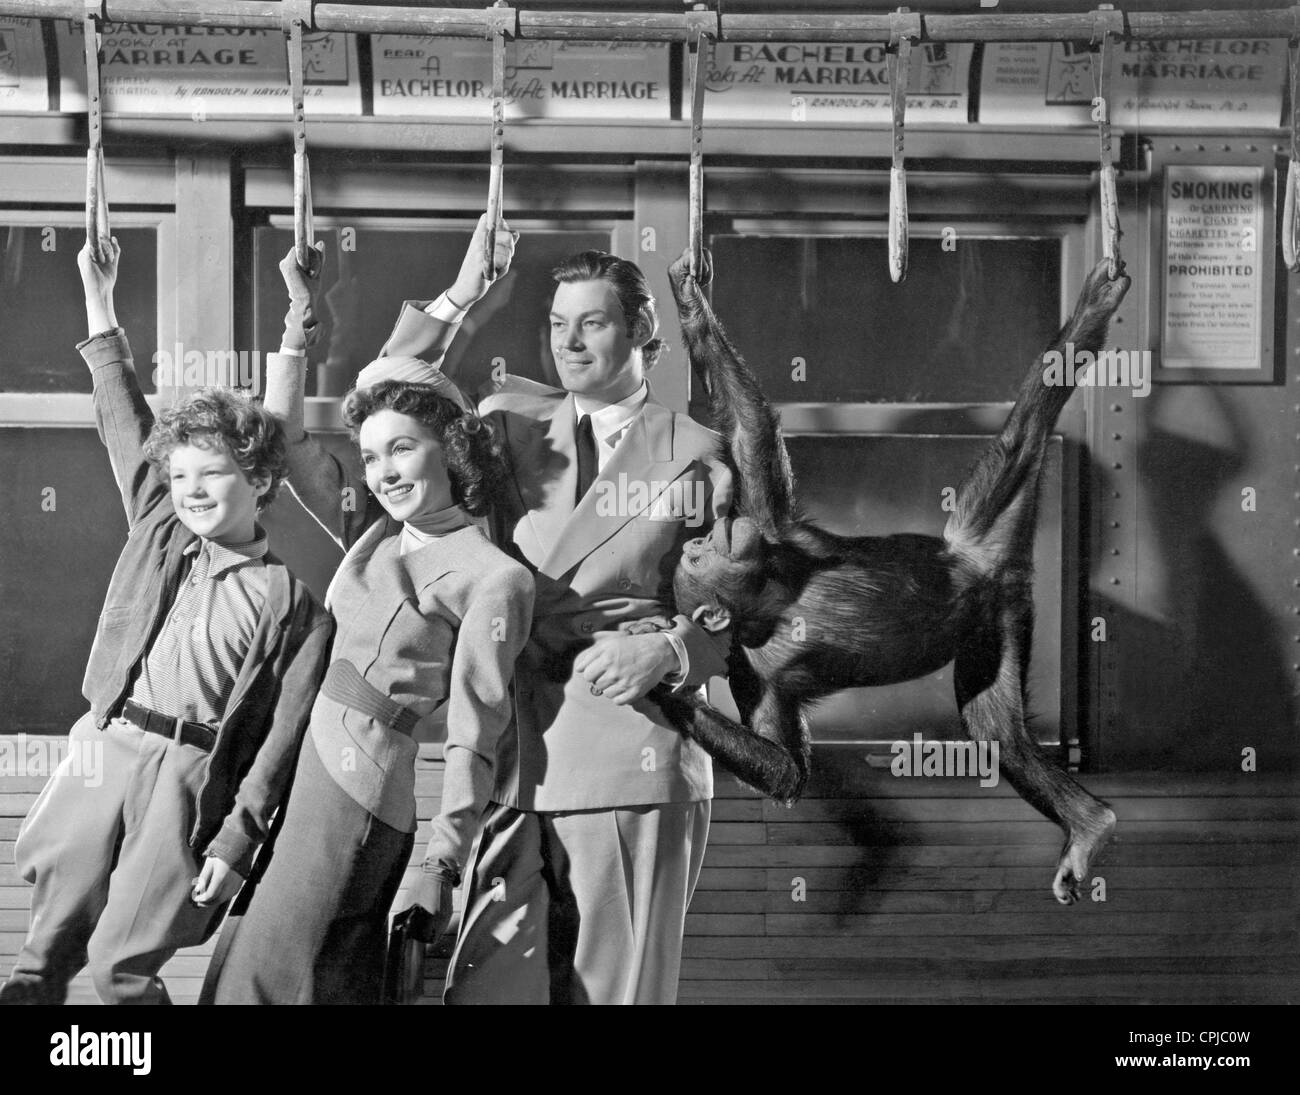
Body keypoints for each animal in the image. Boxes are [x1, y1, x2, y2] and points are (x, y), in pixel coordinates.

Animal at [650, 247, 1128, 905]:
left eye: (698, 553)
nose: (706, 536)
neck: (771, 599)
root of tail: (986, 564)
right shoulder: (755, 675)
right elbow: (786, 769)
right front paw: (662, 690)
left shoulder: (774, 533)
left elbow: (750, 430)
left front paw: (688, 293)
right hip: (994, 574)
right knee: (999, 730)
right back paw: (1087, 826)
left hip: (987, 566)